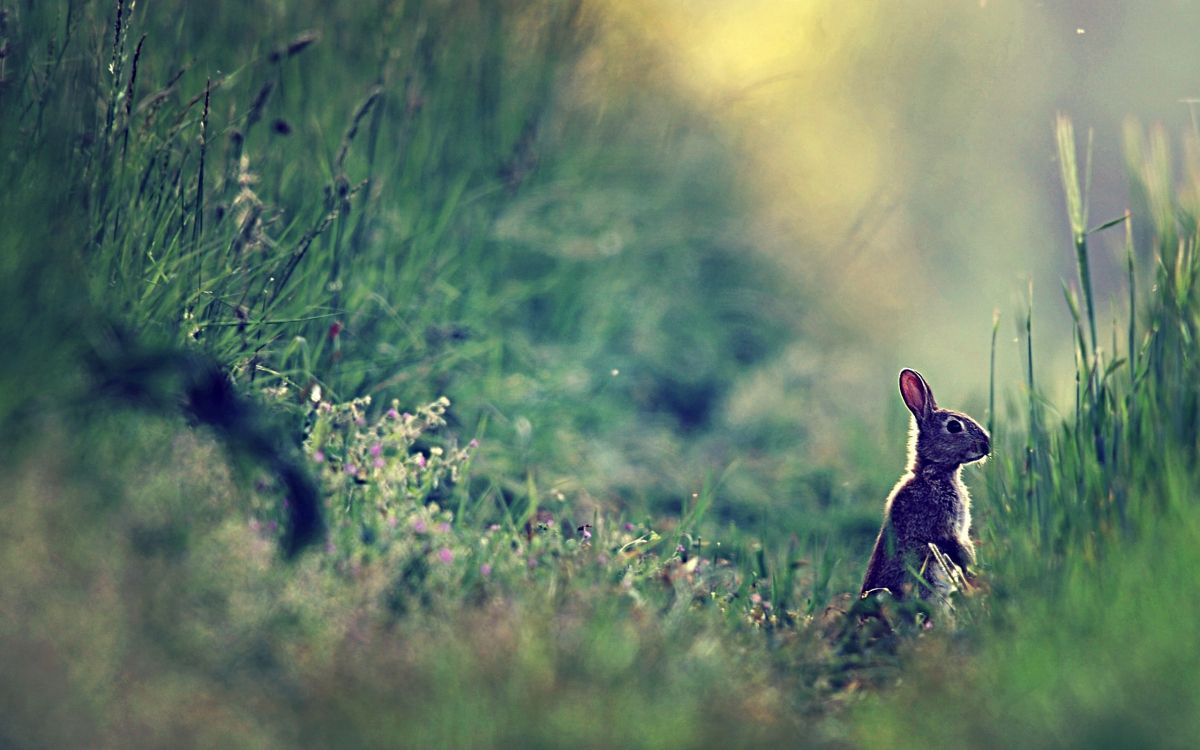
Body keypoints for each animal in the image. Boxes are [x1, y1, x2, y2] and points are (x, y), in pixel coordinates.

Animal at [860, 368, 990, 610]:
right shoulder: (945, 529)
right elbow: (960, 551)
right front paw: (974, 578)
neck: (933, 472)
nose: (987, 445)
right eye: (954, 426)